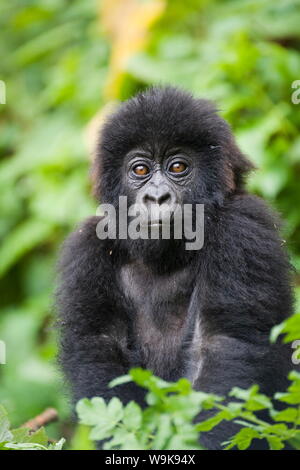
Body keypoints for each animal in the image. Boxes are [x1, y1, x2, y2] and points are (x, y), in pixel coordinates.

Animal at [56, 86, 292, 450]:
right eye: (140, 171)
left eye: (178, 166)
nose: (157, 197)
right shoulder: (87, 245)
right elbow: (98, 349)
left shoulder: (242, 227)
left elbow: (223, 346)